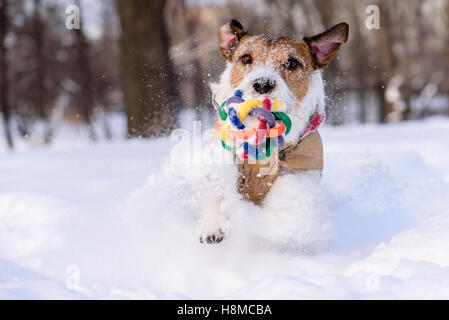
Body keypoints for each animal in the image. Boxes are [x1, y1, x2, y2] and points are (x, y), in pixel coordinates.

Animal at [200, 20, 350, 244]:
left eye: (292, 63)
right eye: (246, 58)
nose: (263, 84)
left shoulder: (300, 170)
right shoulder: (222, 156)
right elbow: (216, 190)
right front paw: (213, 224)